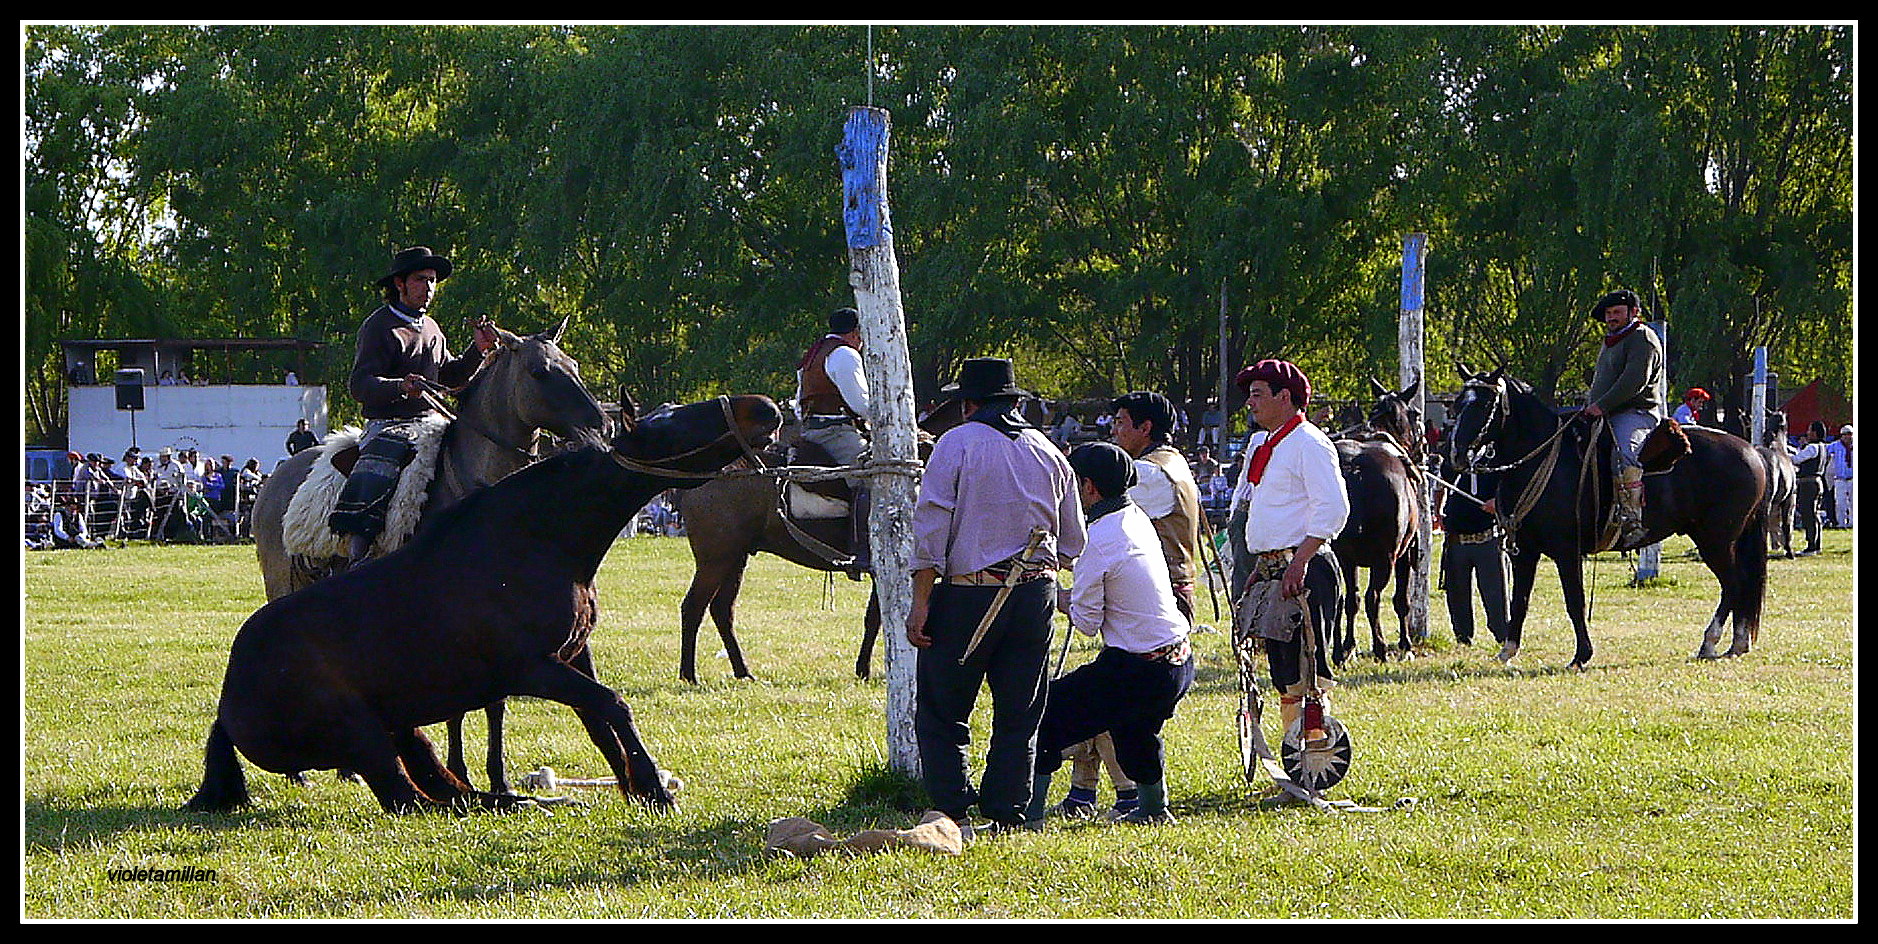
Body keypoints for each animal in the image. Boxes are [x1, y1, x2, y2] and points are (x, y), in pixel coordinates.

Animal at [184, 395, 785, 818]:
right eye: (669, 424)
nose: (767, 409)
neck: (533, 541)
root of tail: (228, 709)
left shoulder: (574, 655)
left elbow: (599, 720)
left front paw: (637, 785)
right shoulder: (532, 669)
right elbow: (613, 706)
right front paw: (656, 788)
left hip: (405, 732)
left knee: (447, 790)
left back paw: (529, 799)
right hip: (361, 734)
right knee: (412, 801)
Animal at [1442, 365, 1765, 668]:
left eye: (1486, 403)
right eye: (1458, 403)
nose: (1455, 454)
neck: (1542, 460)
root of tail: (1752, 451)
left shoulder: (1567, 551)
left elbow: (1574, 600)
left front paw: (1581, 655)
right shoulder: (1525, 552)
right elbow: (1519, 600)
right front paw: (1508, 651)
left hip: (1715, 541)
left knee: (1733, 584)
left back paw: (1710, 642)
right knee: (1740, 586)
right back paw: (1737, 643)